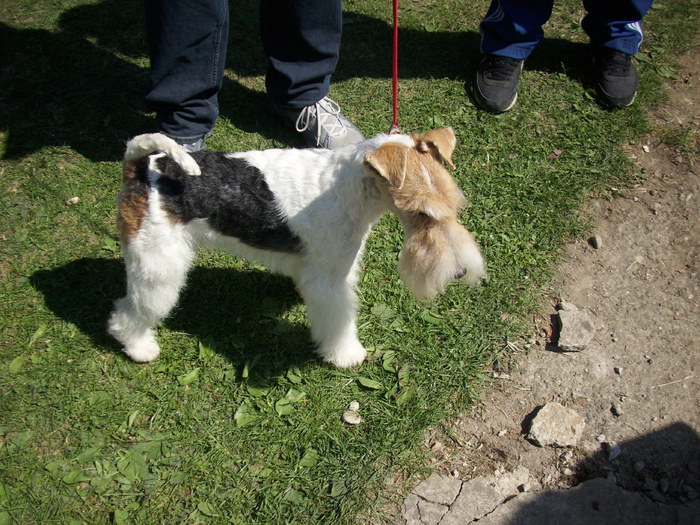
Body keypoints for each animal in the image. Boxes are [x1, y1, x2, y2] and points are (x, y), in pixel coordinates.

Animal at [106, 127, 484, 366]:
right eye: (421, 213)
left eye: (454, 203)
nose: (460, 272)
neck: (348, 188)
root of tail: (140, 167)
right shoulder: (329, 281)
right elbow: (339, 322)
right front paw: (346, 355)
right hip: (158, 265)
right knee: (128, 312)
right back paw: (139, 348)